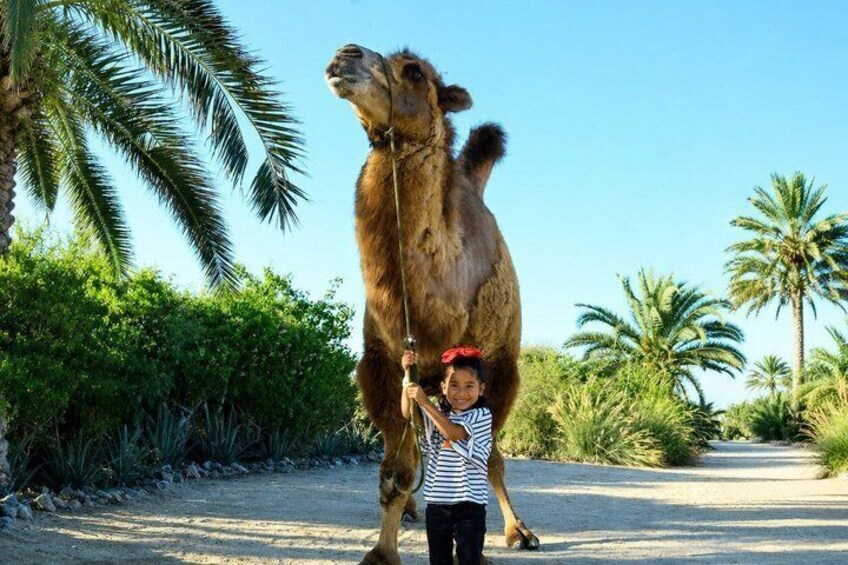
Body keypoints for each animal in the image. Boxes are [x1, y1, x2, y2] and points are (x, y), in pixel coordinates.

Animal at [326, 44, 539, 565]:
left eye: (415, 73)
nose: (345, 55)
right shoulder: (382, 366)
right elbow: (396, 471)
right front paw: (382, 551)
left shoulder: (496, 367)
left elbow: (489, 458)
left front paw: (509, 533)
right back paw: (408, 512)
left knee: (486, 457)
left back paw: (518, 529)